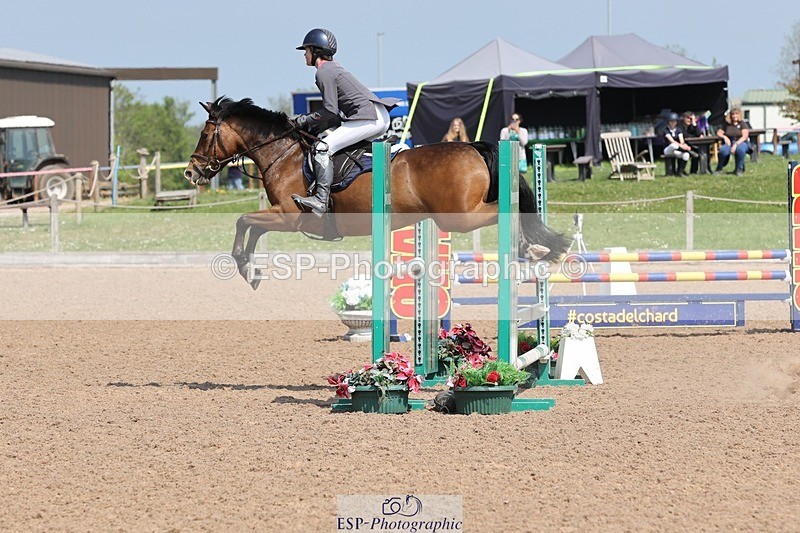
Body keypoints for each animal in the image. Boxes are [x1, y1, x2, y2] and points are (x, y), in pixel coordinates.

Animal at [184, 97, 569, 289]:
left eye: (205, 134)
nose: (191, 172)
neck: (284, 154)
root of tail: (472, 146)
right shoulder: (279, 215)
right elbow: (252, 227)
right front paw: (252, 273)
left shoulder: (291, 216)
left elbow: (243, 221)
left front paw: (244, 266)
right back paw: (535, 248)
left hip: (458, 217)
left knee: (509, 209)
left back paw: (531, 246)